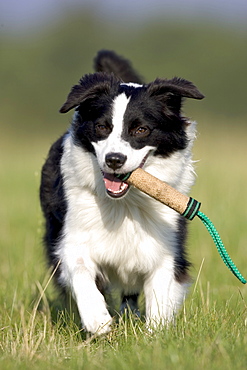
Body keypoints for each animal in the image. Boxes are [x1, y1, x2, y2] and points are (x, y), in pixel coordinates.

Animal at [39, 49, 204, 336]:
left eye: (141, 129)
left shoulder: (166, 246)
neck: (125, 204)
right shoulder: (72, 235)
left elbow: (160, 291)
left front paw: (155, 334)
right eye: (102, 127)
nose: (114, 159)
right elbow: (80, 270)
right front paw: (98, 320)